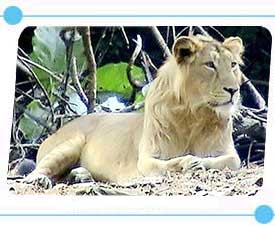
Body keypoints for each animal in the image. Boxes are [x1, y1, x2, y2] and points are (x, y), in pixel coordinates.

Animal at [23, 34, 244, 187]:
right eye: (210, 65)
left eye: (233, 65)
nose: (234, 90)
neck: (195, 113)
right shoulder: (146, 158)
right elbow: (163, 164)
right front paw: (187, 162)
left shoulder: (229, 153)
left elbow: (228, 161)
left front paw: (197, 162)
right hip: (70, 143)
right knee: (34, 172)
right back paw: (41, 180)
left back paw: (81, 175)